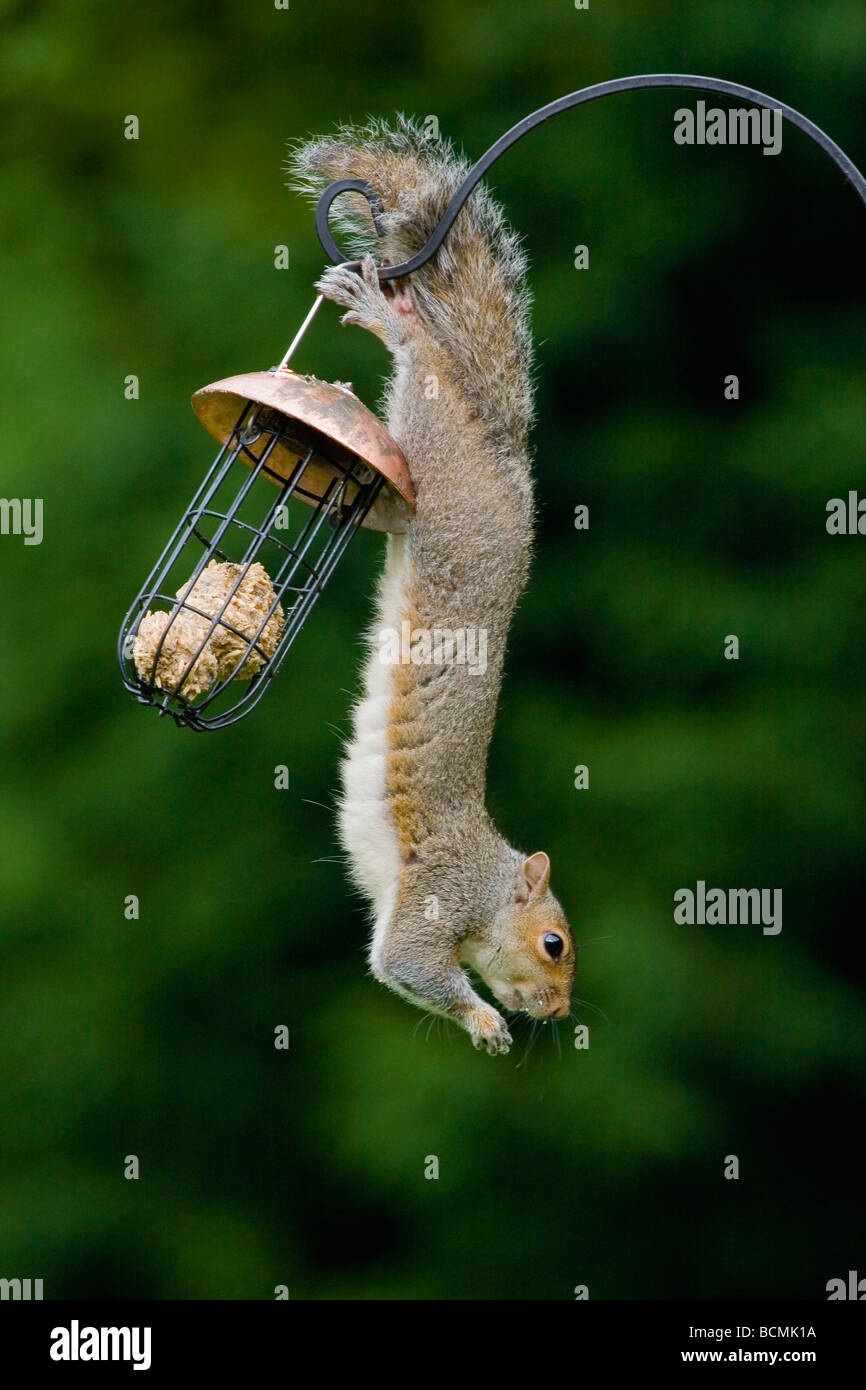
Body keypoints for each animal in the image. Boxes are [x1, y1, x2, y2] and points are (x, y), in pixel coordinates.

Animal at [289, 116, 575, 1055]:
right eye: (554, 944)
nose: (557, 1014)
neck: (488, 874)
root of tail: (505, 470)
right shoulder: (438, 893)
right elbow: (410, 967)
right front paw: (485, 1020)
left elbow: (400, 973)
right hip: (443, 467)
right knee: (422, 365)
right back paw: (393, 318)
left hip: (418, 503)